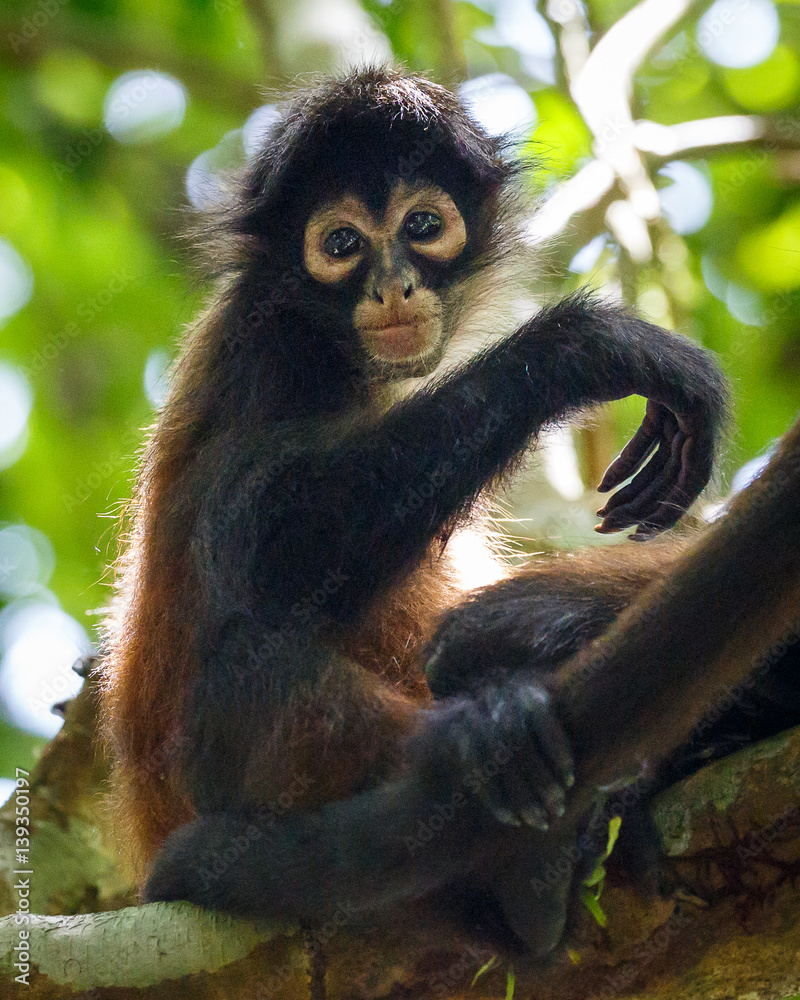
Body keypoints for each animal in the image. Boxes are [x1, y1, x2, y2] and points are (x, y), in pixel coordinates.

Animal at [101, 67, 734, 956]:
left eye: (423, 226)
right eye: (340, 244)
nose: (391, 284)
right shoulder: (265, 352)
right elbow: (262, 553)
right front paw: (584, 348)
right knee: (244, 670)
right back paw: (479, 750)